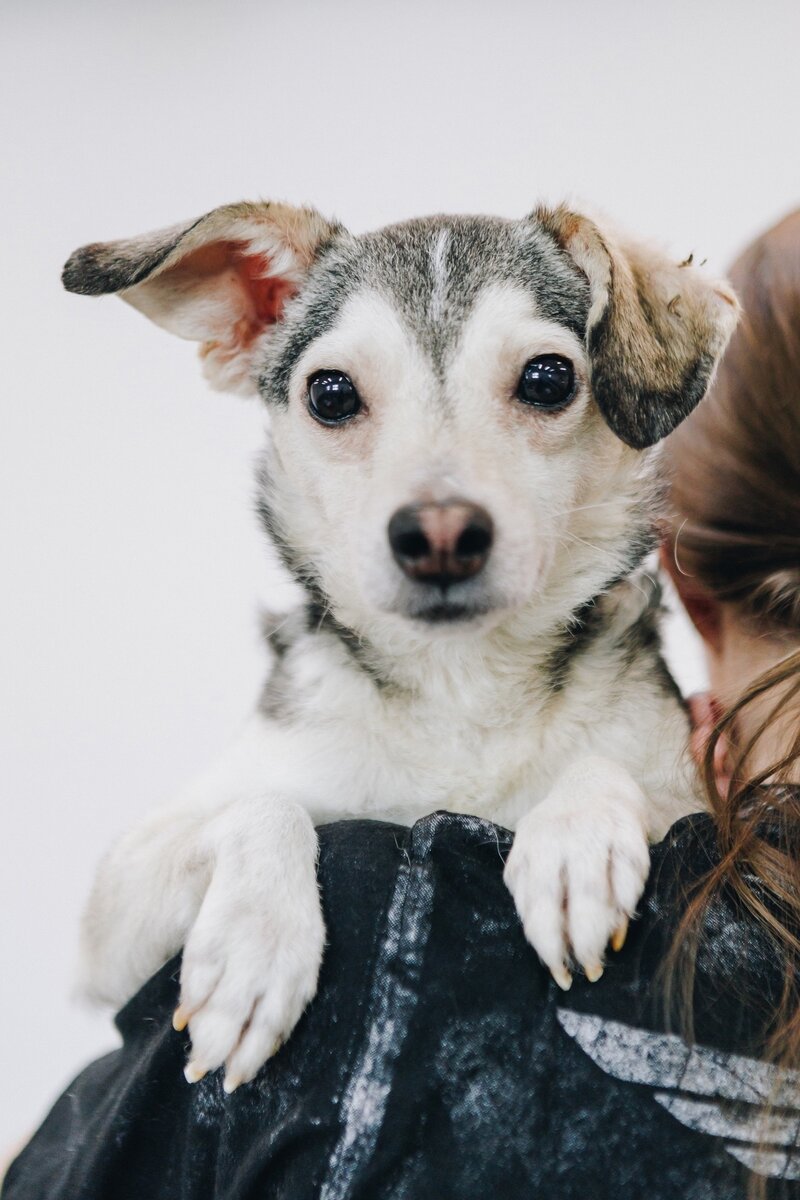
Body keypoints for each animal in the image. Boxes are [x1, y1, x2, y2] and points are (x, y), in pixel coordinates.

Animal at [61, 201, 738, 1094]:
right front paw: (253, 946)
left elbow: (611, 768)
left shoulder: (697, 800)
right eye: (331, 393)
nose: (441, 534)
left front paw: (574, 839)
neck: (461, 686)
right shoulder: (113, 917)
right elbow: (262, 805)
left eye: (549, 379)